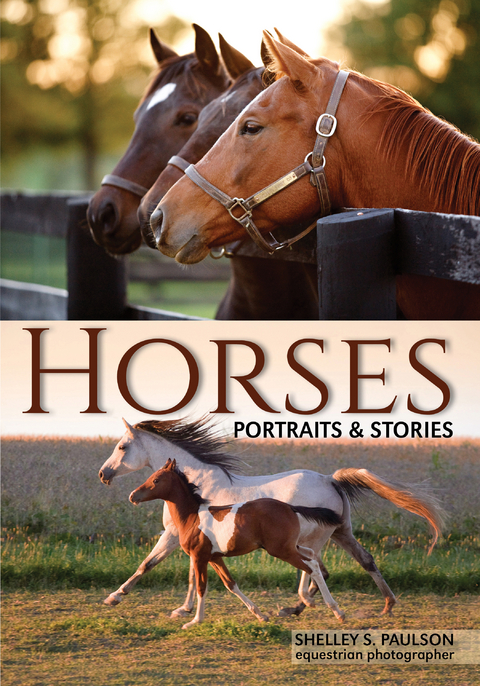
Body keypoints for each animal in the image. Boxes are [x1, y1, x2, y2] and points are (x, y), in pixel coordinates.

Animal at [129, 458, 344, 628]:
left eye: (156, 480)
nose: (133, 496)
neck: (192, 518)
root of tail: (290, 507)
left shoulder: (199, 557)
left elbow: (201, 586)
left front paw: (194, 621)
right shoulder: (214, 558)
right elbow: (230, 584)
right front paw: (260, 615)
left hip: (281, 550)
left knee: (311, 567)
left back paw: (334, 610)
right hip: (290, 546)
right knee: (312, 558)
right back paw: (325, 606)